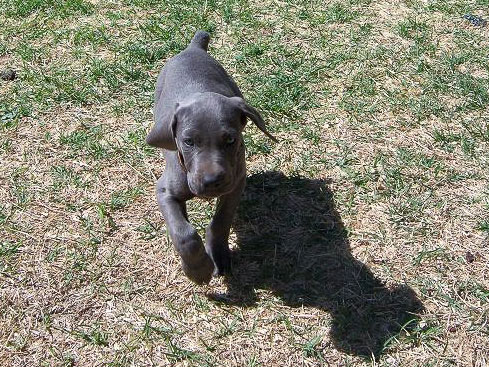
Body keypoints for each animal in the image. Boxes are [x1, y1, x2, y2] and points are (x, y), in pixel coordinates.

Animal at [146, 30, 274, 284]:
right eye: (188, 142)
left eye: (230, 140)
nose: (212, 181)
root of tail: (193, 48)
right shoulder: (165, 191)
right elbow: (183, 233)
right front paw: (198, 269)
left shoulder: (236, 182)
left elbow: (220, 221)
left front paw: (217, 256)